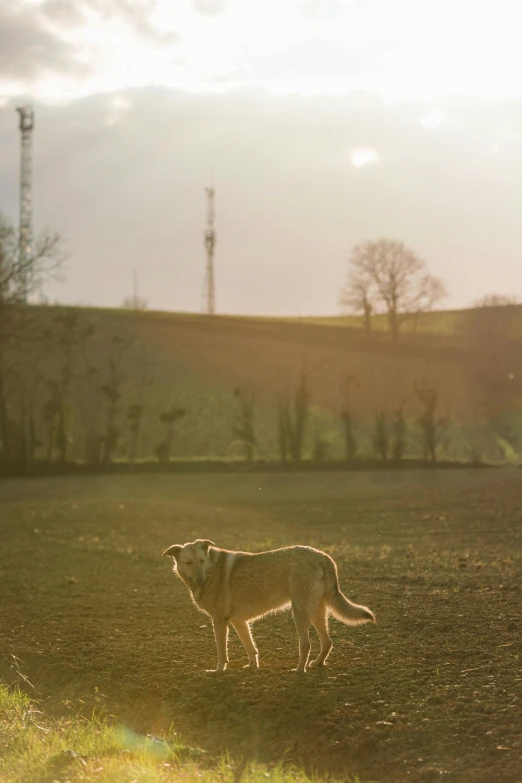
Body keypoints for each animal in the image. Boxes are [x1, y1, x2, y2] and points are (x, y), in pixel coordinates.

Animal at [162, 540, 374, 672]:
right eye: (188, 562)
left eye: (201, 561)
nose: (200, 579)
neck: (211, 568)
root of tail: (324, 557)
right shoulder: (239, 621)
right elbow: (251, 648)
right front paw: (252, 668)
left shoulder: (219, 621)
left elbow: (222, 651)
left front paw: (218, 671)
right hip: (316, 610)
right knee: (327, 641)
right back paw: (317, 664)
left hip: (300, 611)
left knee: (306, 644)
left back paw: (299, 670)